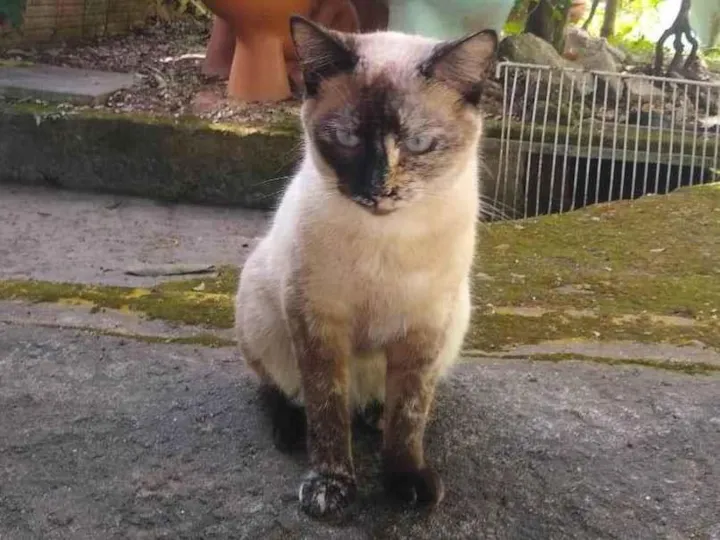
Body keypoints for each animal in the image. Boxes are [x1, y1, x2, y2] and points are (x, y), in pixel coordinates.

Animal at [235, 16, 497, 519]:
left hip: (455, 323)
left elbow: (410, 414)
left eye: (418, 143)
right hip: (260, 309)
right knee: (280, 387)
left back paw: (375, 415)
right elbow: (327, 412)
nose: (380, 189)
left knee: (385, 402)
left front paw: (405, 481)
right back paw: (291, 429)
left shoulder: (424, 327)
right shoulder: (318, 320)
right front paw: (331, 486)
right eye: (348, 139)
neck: (386, 239)